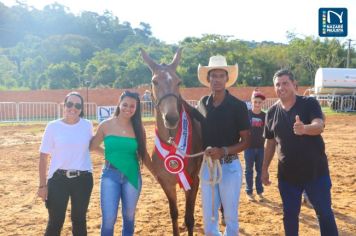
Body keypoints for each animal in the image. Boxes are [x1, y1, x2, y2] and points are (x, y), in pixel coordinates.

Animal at [141, 48, 203, 236]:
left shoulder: (192, 180)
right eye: (155, 81)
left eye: (178, 82)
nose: (171, 118)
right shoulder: (166, 182)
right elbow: (174, 213)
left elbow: (189, 218)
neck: (171, 143)